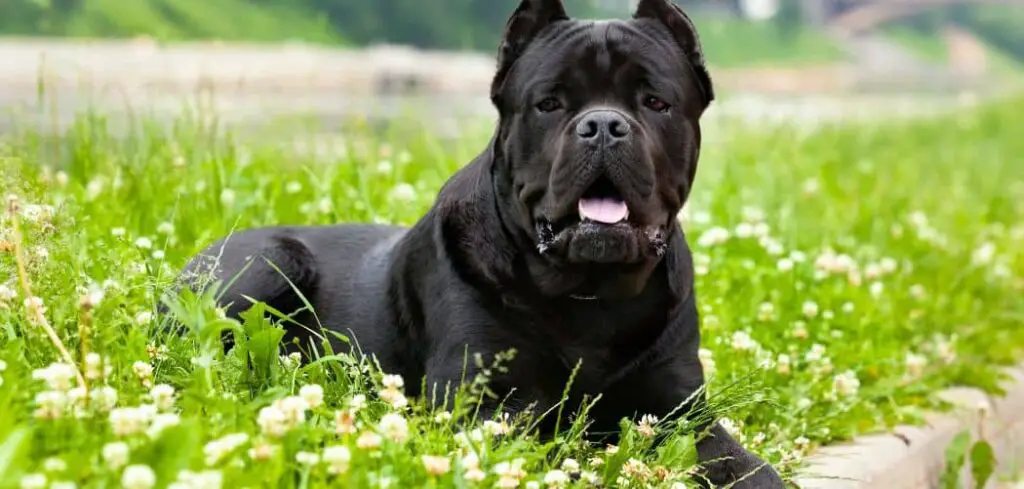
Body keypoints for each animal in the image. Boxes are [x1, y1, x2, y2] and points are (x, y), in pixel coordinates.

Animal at [174, 1, 782, 486]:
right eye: (549, 104)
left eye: (656, 102)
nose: (605, 125)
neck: (591, 294)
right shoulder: (484, 404)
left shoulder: (681, 411)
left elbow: (743, 462)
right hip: (269, 261)